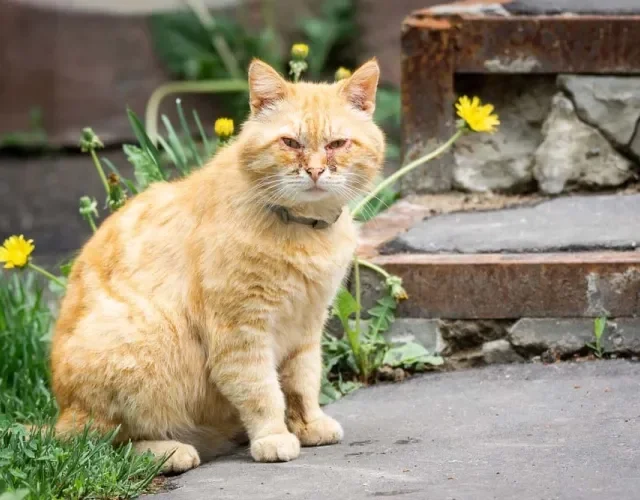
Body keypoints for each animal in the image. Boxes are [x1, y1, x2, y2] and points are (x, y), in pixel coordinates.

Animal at [50, 58, 384, 472]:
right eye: (290, 143)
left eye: (337, 144)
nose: (316, 171)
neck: (303, 230)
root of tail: (61, 415)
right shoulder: (241, 331)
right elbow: (262, 392)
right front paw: (273, 437)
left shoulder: (307, 325)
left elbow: (303, 383)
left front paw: (309, 425)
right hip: (142, 343)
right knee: (108, 445)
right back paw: (169, 451)